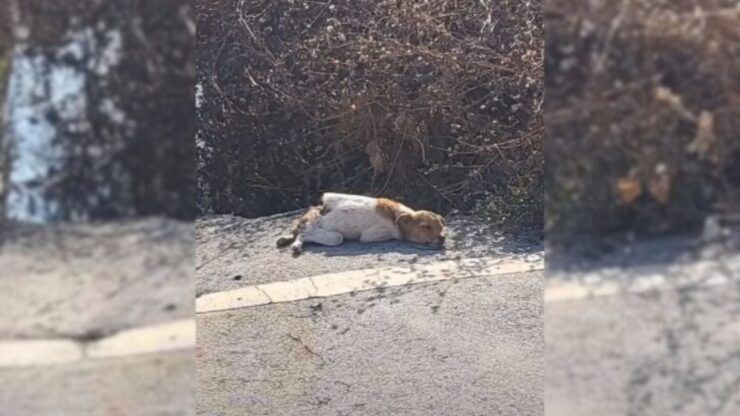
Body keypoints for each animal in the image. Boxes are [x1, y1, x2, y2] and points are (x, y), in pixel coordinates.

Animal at [276, 193, 446, 255]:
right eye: (425, 227)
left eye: (441, 225)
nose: (443, 237)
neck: (396, 218)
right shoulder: (371, 235)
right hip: (317, 224)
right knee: (307, 233)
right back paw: (296, 244)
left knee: (299, 232)